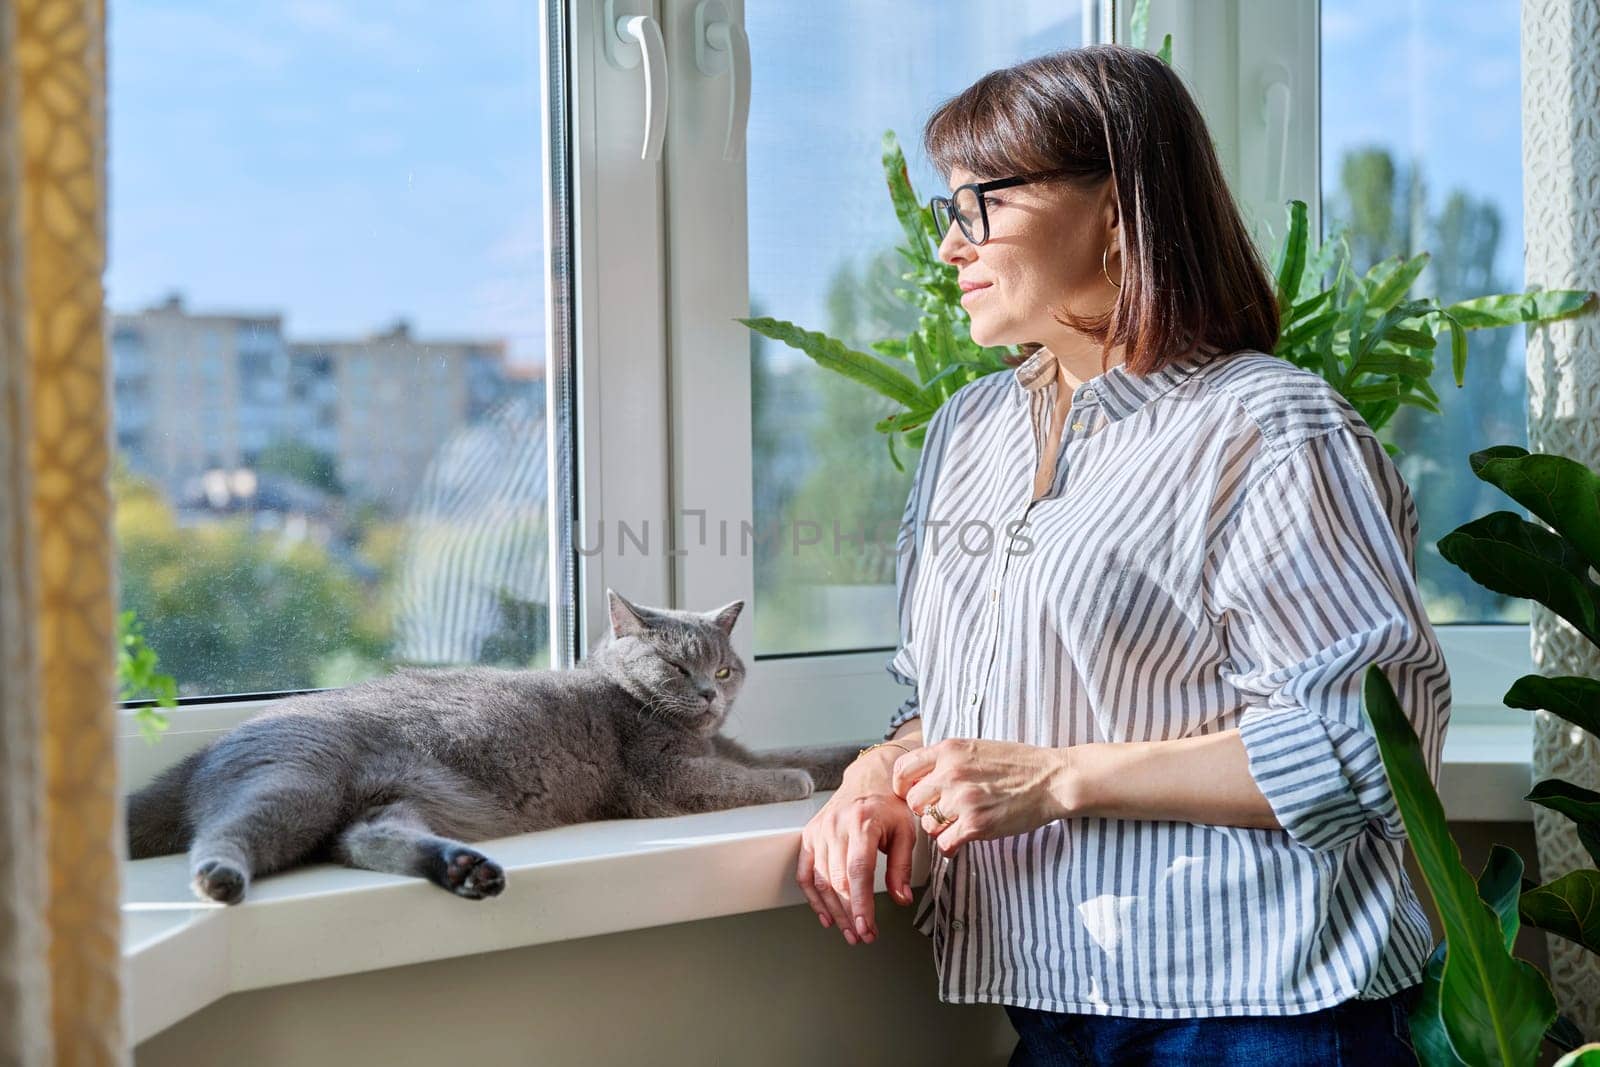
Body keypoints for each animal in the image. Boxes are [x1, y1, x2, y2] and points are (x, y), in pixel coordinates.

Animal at [126, 588, 870, 908]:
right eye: (675, 668)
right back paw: (219, 875)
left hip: (390, 800)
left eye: (722, 669)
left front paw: (862, 752)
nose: (711, 694)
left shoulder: (729, 745)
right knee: (227, 830)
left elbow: (809, 750)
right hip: (294, 780)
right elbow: (749, 777)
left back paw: (463, 869)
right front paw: (798, 781)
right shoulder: (660, 779)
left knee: (366, 839)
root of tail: (208, 749)